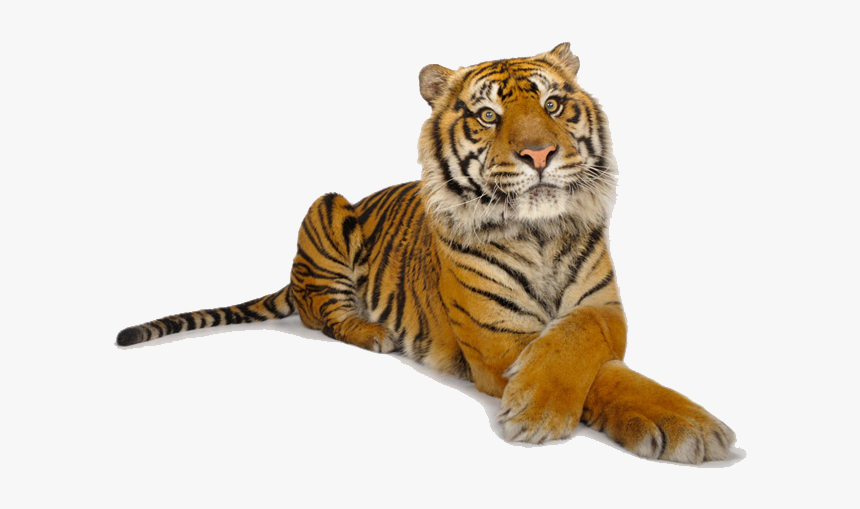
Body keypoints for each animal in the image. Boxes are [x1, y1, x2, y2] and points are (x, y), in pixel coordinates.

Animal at [117, 43, 736, 464]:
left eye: (555, 105)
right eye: (488, 116)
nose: (539, 154)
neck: (539, 234)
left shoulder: (606, 311)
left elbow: (583, 341)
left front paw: (688, 420)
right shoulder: (499, 339)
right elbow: (598, 375)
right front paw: (541, 412)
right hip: (325, 206)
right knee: (323, 314)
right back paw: (372, 333)